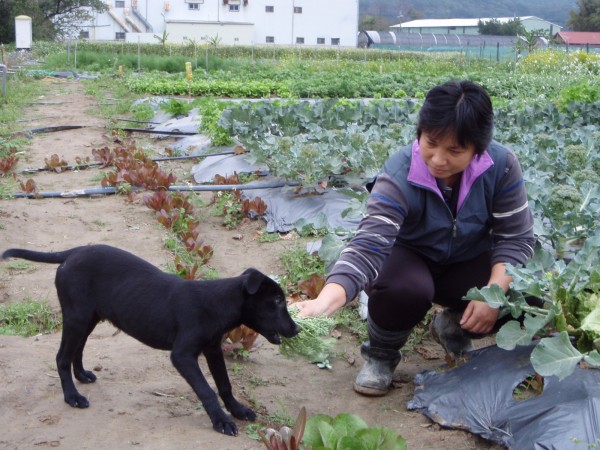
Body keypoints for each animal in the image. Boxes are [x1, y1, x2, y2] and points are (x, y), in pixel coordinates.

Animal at [0, 246, 300, 436]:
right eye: (277, 301)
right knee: (61, 357)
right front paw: (221, 421)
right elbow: (207, 390)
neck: (217, 302)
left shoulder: (213, 348)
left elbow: (224, 385)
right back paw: (72, 397)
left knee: (77, 350)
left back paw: (82, 376)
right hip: (76, 317)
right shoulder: (182, 355)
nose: (296, 329)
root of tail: (72, 252)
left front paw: (238, 410)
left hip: (88, 317)